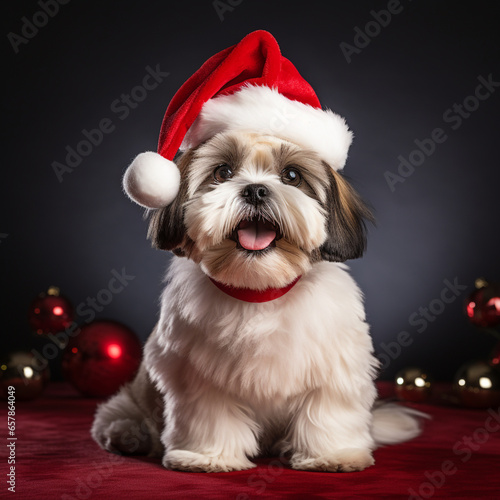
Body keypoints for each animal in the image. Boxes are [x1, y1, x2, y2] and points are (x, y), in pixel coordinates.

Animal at [92, 31, 424, 472]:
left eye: (292, 175)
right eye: (222, 173)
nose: (254, 189)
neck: (260, 289)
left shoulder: (334, 369)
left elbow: (326, 412)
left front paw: (332, 455)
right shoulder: (200, 378)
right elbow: (211, 416)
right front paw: (208, 457)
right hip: (135, 396)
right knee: (119, 413)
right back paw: (128, 434)